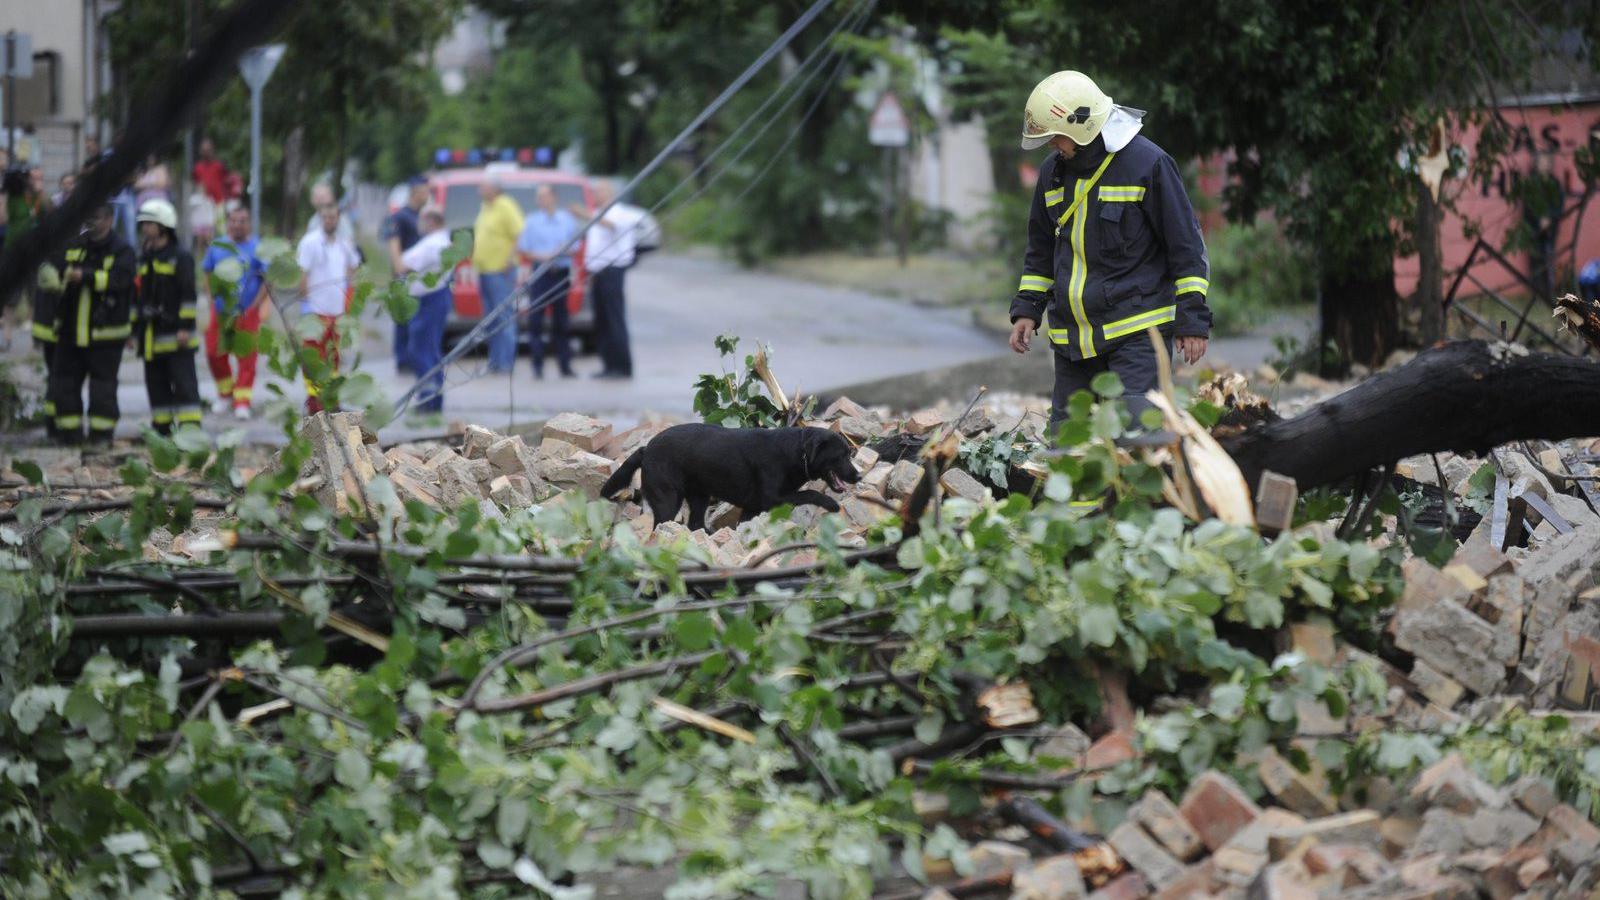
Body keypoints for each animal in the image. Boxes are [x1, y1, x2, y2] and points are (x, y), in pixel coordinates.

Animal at [598, 422, 857, 528]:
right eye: (841, 456)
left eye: (850, 453)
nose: (859, 476)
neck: (796, 452)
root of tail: (646, 449)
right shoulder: (773, 498)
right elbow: (810, 492)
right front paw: (831, 503)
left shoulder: (752, 507)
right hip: (668, 500)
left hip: (699, 497)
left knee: (695, 524)